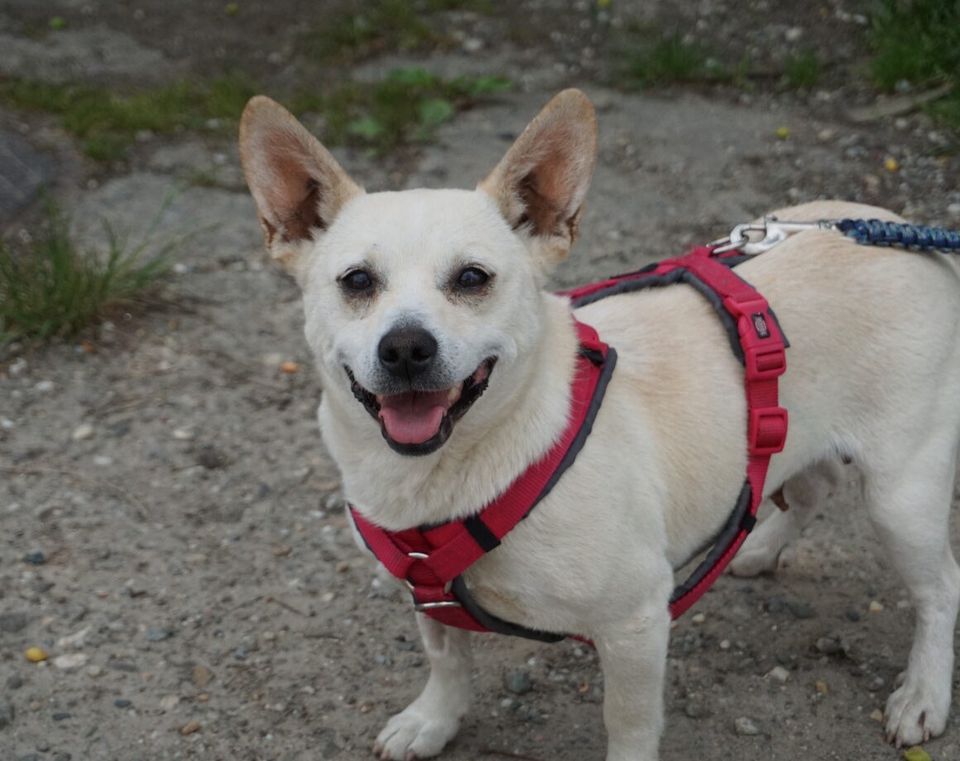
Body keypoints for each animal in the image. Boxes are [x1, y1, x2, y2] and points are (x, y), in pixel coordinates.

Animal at [238, 86, 960, 756]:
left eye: (472, 278)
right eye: (357, 281)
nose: (407, 347)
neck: (450, 472)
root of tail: (902, 230)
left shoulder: (636, 622)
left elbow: (629, 725)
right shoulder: (429, 598)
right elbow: (446, 661)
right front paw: (431, 721)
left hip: (901, 496)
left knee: (940, 588)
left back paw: (923, 694)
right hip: (799, 433)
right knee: (811, 484)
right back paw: (758, 545)